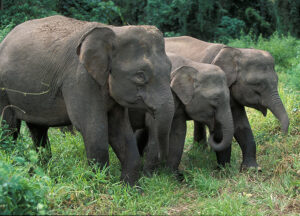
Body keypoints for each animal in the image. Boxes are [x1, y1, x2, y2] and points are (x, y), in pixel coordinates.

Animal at [0, 15, 173, 186]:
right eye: (140, 75)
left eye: (170, 69)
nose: (155, 173)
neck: (114, 31)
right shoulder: (80, 79)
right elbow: (92, 128)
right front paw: (101, 186)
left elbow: (120, 129)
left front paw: (130, 188)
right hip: (3, 89)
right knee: (9, 127)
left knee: (38, 130)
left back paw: (43, 170)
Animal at [165, 36, 290, 170]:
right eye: (256, 84)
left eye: (277, 81)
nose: (281, 137)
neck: (236, 51)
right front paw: (225, 169)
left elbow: (241, 125)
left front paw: (251, 169)